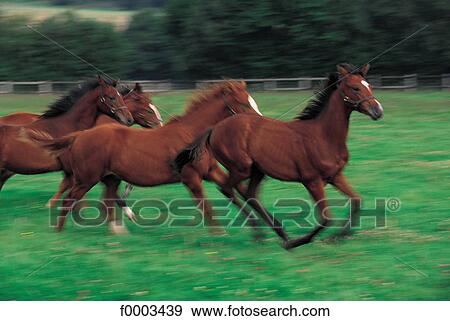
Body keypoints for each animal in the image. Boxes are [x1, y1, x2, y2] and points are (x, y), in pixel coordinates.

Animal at [33, 79, 262, 230]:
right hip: (87, 179)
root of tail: (79, 135)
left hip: (107, 178)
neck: (191, 135)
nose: (259, 121)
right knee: (71, 199)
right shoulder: (191, 178)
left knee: (103, 201)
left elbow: (238, 193)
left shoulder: (212, 171)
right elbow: (207, 207)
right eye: (243, 103)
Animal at [174, 62, 384, 248]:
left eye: (369, 86)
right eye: (355, 88)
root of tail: (215, 128)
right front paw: (298, 242)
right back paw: (264, 233)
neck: (323, 135)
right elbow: (326, 218)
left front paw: (339, 236)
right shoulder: (312, 181)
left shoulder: (335, 176)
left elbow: (357, 201)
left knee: (250, 194)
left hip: (257, 170)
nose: (378, 110)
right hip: (241, 168)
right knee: (228, 189)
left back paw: (279, 230)